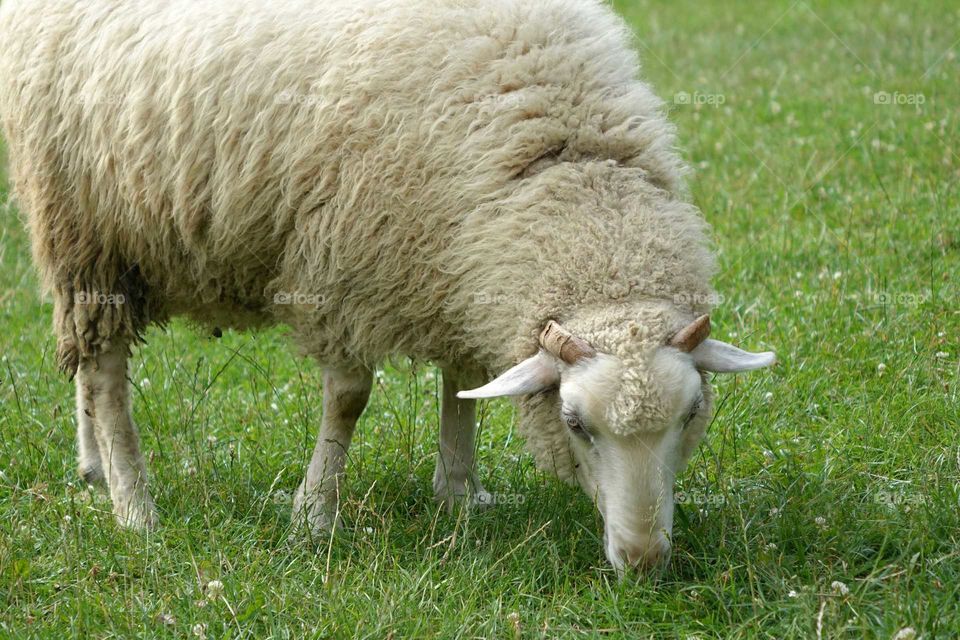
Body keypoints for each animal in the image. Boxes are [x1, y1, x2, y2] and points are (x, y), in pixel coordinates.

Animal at [0, 0, 775, 572]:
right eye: (577, 424)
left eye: (692, 415)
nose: (643, 562)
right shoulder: (342, 262)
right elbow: (348, 399)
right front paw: (313, 515)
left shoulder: (455, 263)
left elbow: (462, 382)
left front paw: (460, 492)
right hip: (85, 227)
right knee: (106, 374)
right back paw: (134, 508)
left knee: (85, 366)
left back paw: (93, 465)